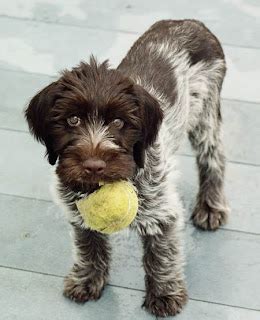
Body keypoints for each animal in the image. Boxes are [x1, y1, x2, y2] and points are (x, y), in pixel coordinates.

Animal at [24, 20, 228, 318]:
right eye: (72, 120)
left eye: (119, 123)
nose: (93, 166)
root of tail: (190, 22)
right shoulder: (76, 209)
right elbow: (88, 245)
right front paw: (88, 279)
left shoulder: (161, 210)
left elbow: (162, 254)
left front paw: (164, 294)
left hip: (205, 110)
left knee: (213, 156)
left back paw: (211, 206)